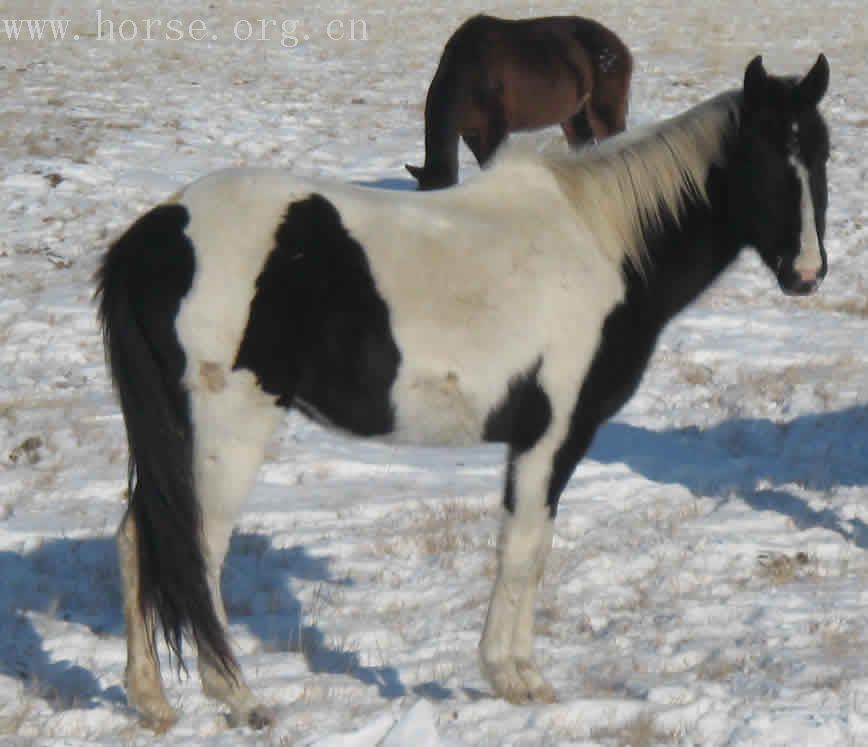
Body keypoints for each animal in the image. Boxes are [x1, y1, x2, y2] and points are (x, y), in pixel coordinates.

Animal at [98, 57, 832, 732]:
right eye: (763, 159)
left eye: (821, 154)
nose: (806, 273)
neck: (603, 245)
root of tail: (154, 237)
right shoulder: (553, 433)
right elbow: (525, 550)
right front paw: (517, 677)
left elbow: (524, 546)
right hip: (227, 432)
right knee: (195, 549)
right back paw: (239, 697)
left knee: (139, 537)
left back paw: (152, 700)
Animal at [404, 14, 636, 190]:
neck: (468, 72)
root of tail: (621, 47)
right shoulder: (470, 133)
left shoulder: (494, 127)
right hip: (575, 115)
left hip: (605, 108)